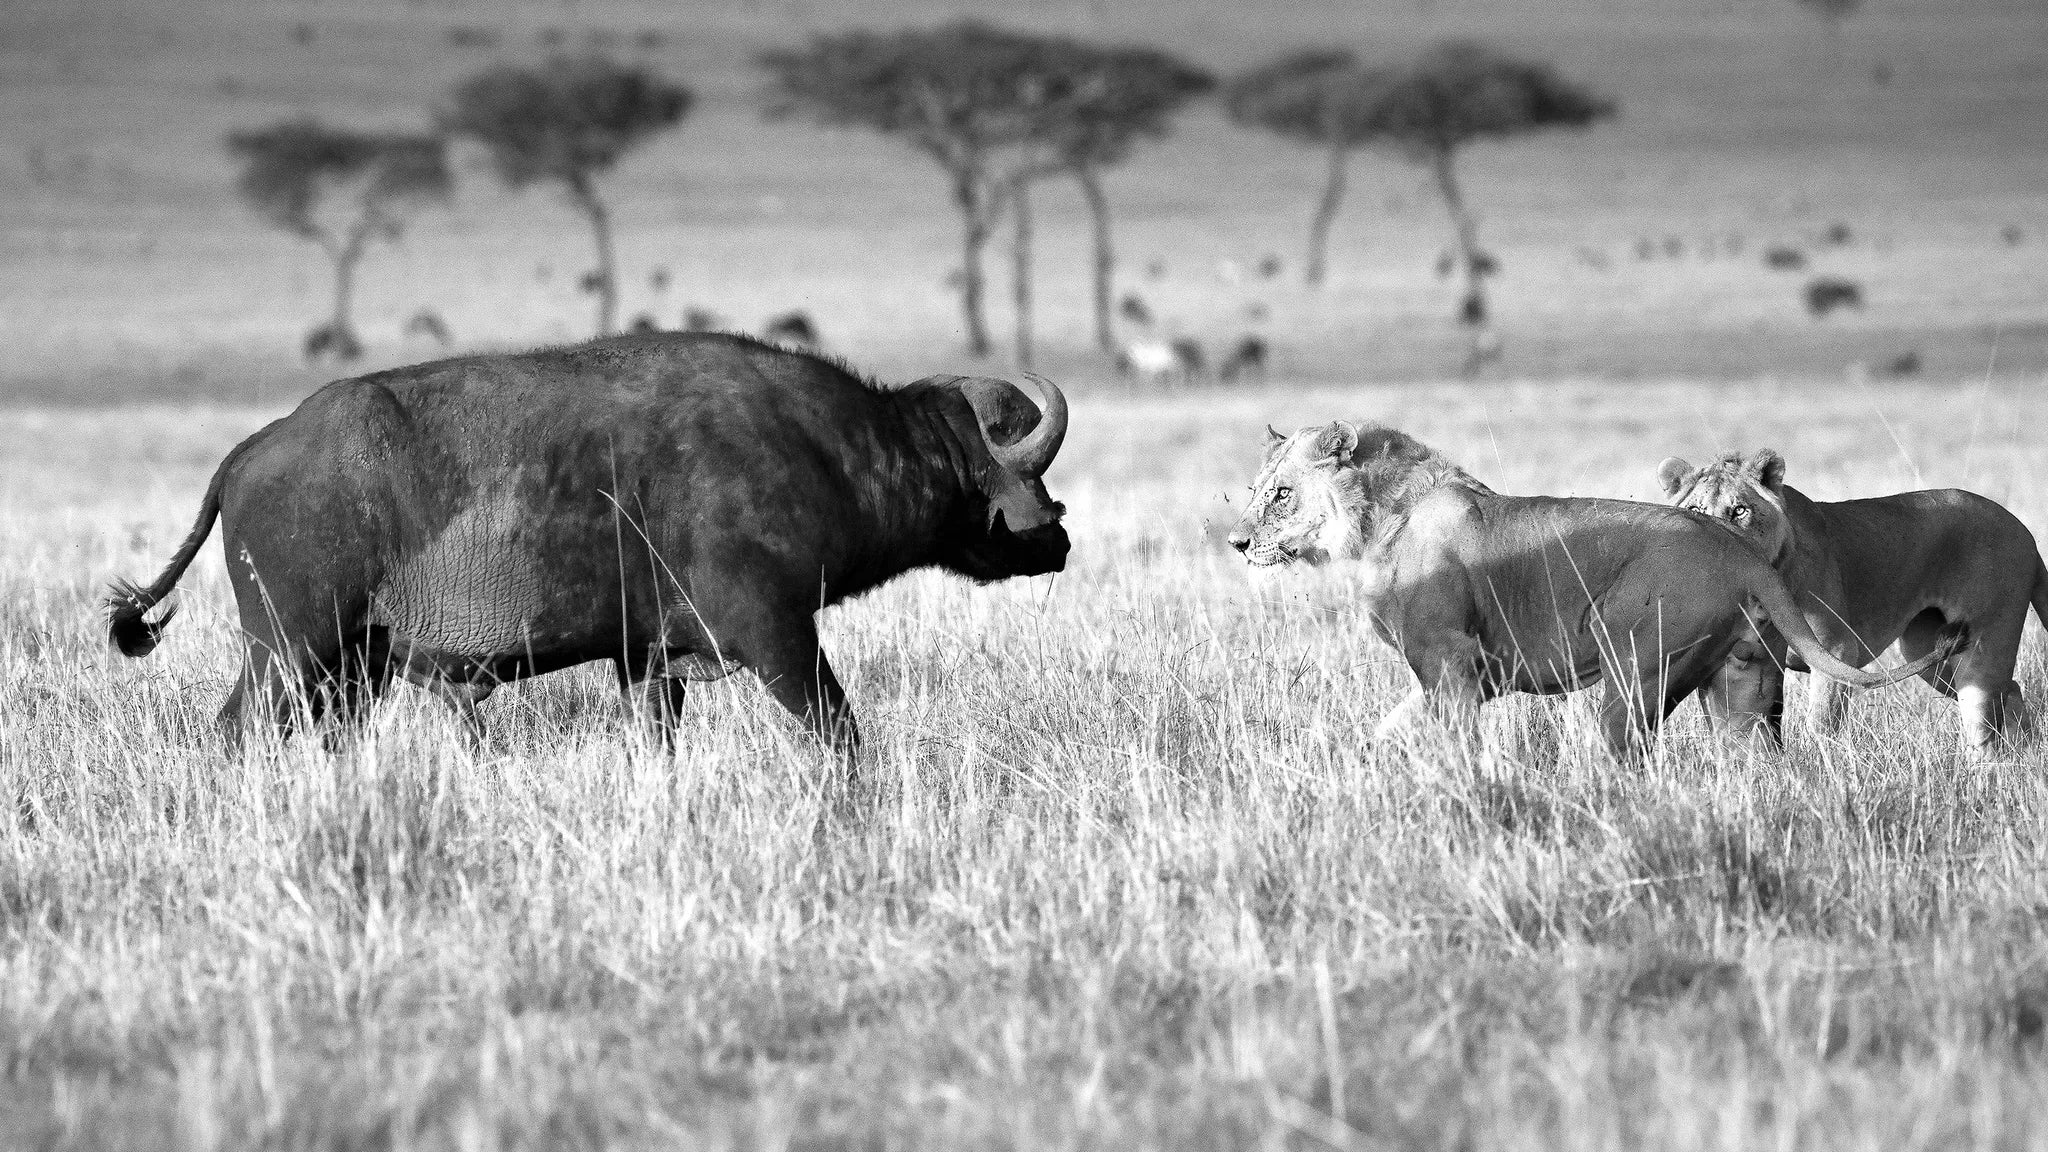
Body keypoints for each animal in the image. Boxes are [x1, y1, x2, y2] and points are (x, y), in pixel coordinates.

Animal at [106, 332, 1070, 767]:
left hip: (349, 672)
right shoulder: (777, 633)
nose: (1057, 535)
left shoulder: (646, 663)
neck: (826, 447)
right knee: (238, 732)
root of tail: (251, 452)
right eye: (1003, 457)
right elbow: (840, 733)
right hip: (290, 651)